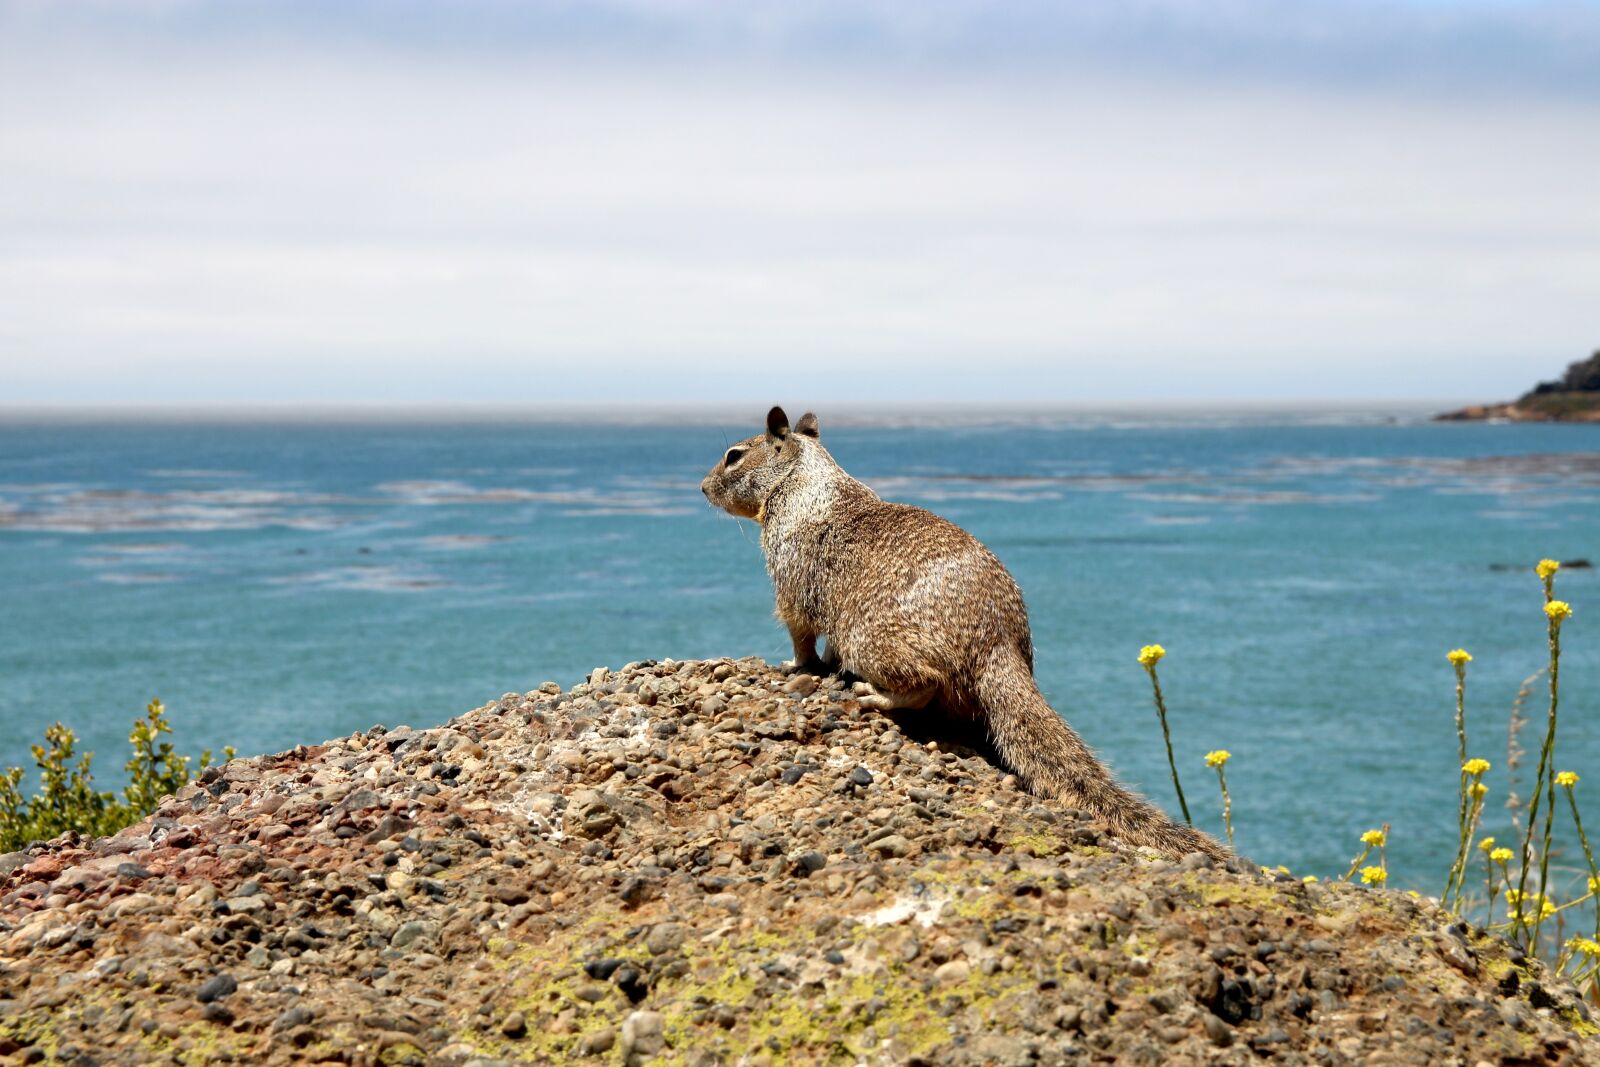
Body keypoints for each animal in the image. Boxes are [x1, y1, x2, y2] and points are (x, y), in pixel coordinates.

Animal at [701, 406, 1228, 860]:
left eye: (734, 455)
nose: (703, 488)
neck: (805, 479)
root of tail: (998, 646)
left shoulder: (789, 575)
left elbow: (800, 632)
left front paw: (797, 665)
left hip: (868, 638)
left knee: (924, 683)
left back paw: (876, 694)